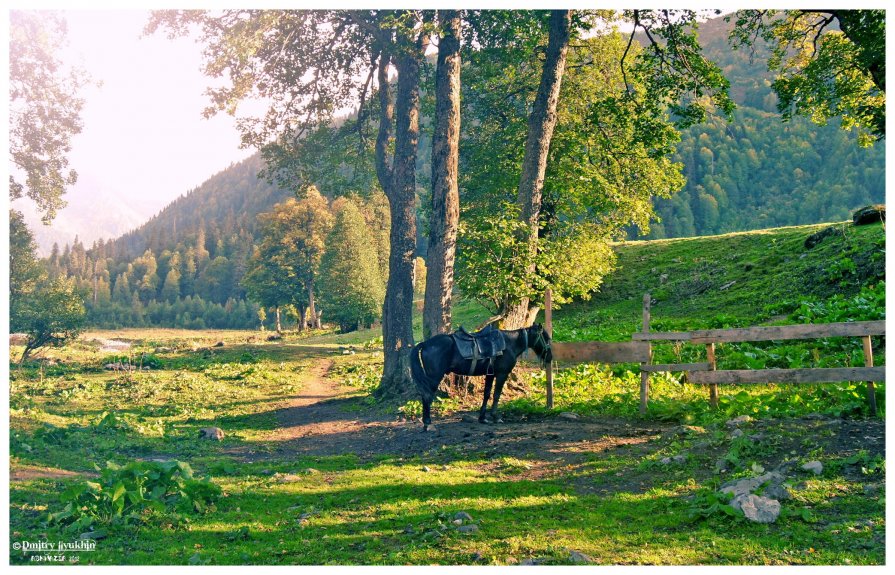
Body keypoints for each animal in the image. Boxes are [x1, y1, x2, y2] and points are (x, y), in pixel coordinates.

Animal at [412, 324, 552, 432]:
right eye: (546, 338)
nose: (550, 357)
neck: (509, 343)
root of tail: (425, 344)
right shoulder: (502, 374)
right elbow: (496, 394)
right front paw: (495, 416)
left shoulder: (490, 375)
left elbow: (486, 394)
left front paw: (483, 418)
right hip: (434, 378)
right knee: (427, 396)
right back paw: (428, 424)